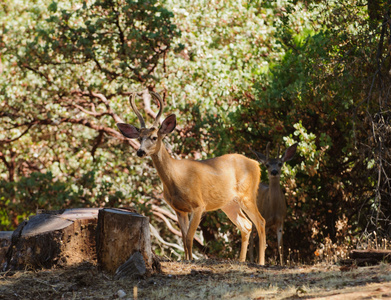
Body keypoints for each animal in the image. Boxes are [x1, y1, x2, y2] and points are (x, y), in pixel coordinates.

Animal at [117, 92, 266, 264]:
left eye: (154, 137)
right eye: (139, 138)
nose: (140, 151)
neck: (176, 178)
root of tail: (256, 164)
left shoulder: (198, 205)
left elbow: (189, 238)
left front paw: (190, 261)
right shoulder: (179, 209)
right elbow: (183, 238)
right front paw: (187, 259)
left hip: (247, 195)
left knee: (260, 221)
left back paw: (260, 262)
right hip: (229, 203)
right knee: (246, 225)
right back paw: (241, 261)